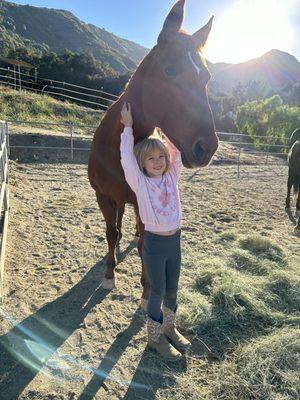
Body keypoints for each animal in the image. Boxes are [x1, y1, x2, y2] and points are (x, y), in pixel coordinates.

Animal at [88, 0, 218, 302]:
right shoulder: (103, 196)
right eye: (169, 70)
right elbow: (111, 233)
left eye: (206, 76)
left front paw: (148, 287)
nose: (206, 146)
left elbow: (145, 242)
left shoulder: (141, 201)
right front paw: (109, 274)